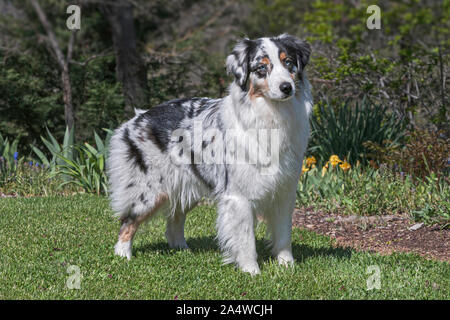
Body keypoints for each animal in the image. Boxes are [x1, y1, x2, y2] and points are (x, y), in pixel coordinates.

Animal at [108, 33, 312, 276]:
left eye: (288, 62)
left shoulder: (284, 190)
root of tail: (136, 119)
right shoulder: (239, 195)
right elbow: (246, 239)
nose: (286, 87)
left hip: (187, 186)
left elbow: (283, 234)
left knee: (174, 220)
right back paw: (122, 256)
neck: (271, 116)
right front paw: (251, 271)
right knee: (127, 221)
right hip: (149, 190)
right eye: (262, 68)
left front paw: (287, 266)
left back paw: (182, 250)